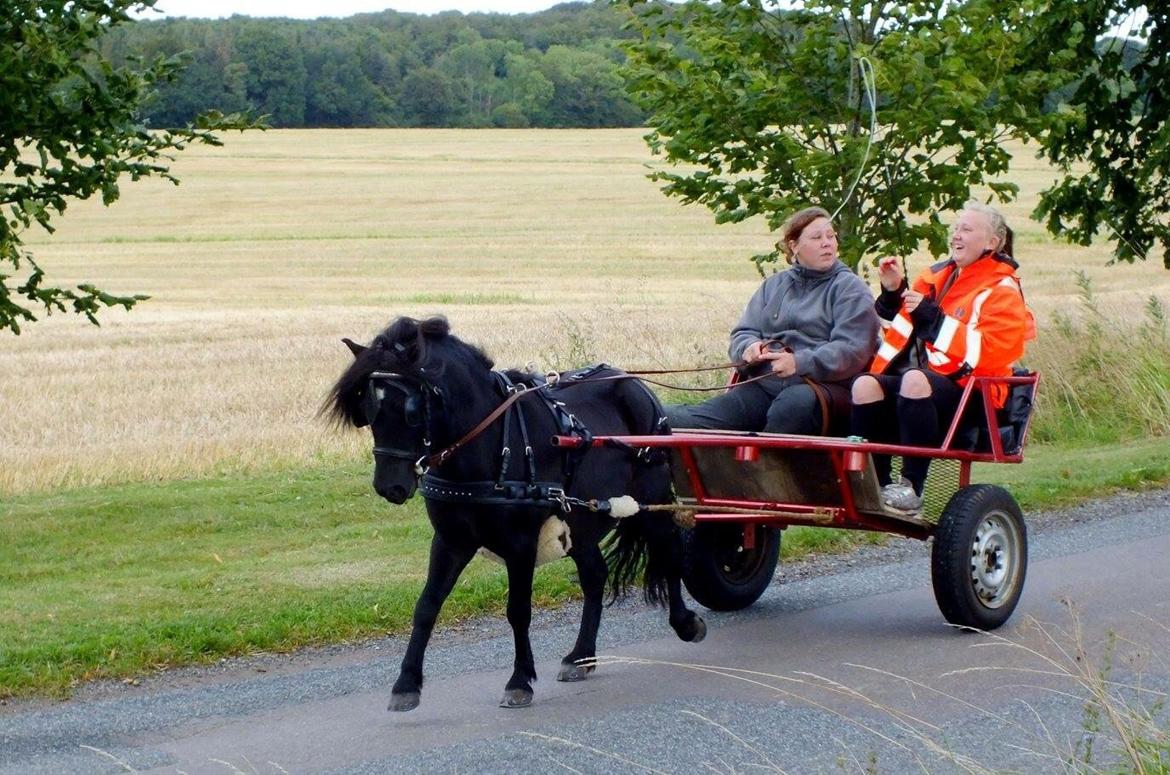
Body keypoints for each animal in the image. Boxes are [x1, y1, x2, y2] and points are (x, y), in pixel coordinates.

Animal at [322, 318, 702, 711]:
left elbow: (518, 610)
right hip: (580, 521)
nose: (389, 486)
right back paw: (581, 657)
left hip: (651, 499)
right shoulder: (450, 540)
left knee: (669, 552)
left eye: (411, 409)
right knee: (595, 577)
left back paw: (685, 623)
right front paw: (406, 683)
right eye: (367, 408)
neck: (487, 446)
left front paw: (519, 680)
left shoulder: (521, 543)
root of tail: (633, 383)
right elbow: (427, 605)